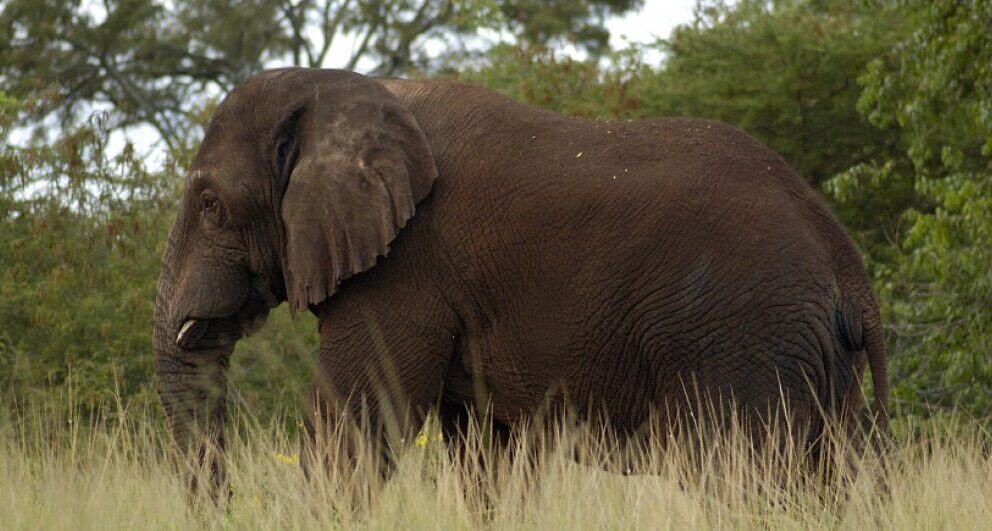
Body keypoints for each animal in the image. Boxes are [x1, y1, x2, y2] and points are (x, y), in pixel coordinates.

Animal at [152, 68, 887, 489]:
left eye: (212, 206)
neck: (345, 93)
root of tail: (850, 271)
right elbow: (489, 453)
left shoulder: (405, 268)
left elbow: (355, 432)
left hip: (746, 341)